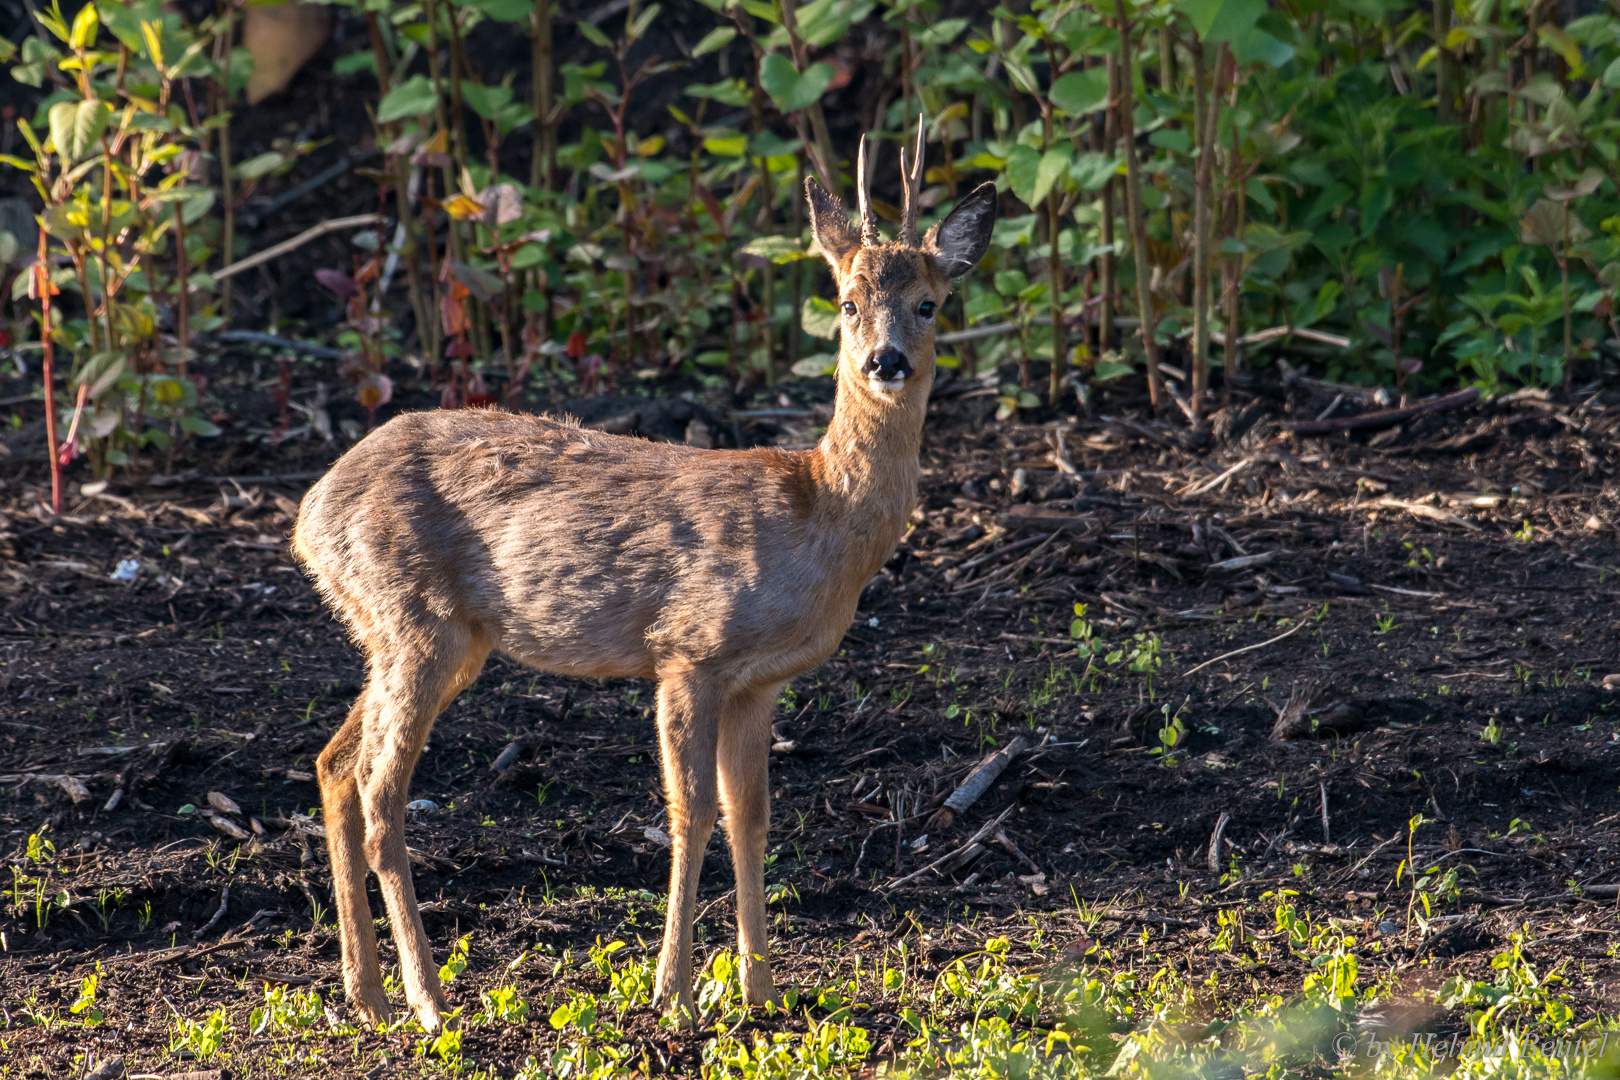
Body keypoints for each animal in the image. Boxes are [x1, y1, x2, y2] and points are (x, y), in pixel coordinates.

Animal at [294, 120, 997, 1029]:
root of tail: (310, 514)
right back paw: (430, 1000)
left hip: (414, 634)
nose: (886, 361)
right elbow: (690, 813)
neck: (818, 520)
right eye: (847, 301)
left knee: (335, 766)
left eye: (929, 304)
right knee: (382, 792)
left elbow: (752, 816)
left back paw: (368, 994)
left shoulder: (759, 681)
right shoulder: (689, 650)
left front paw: (762, 989)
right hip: (416, 618)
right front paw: (676, 994)